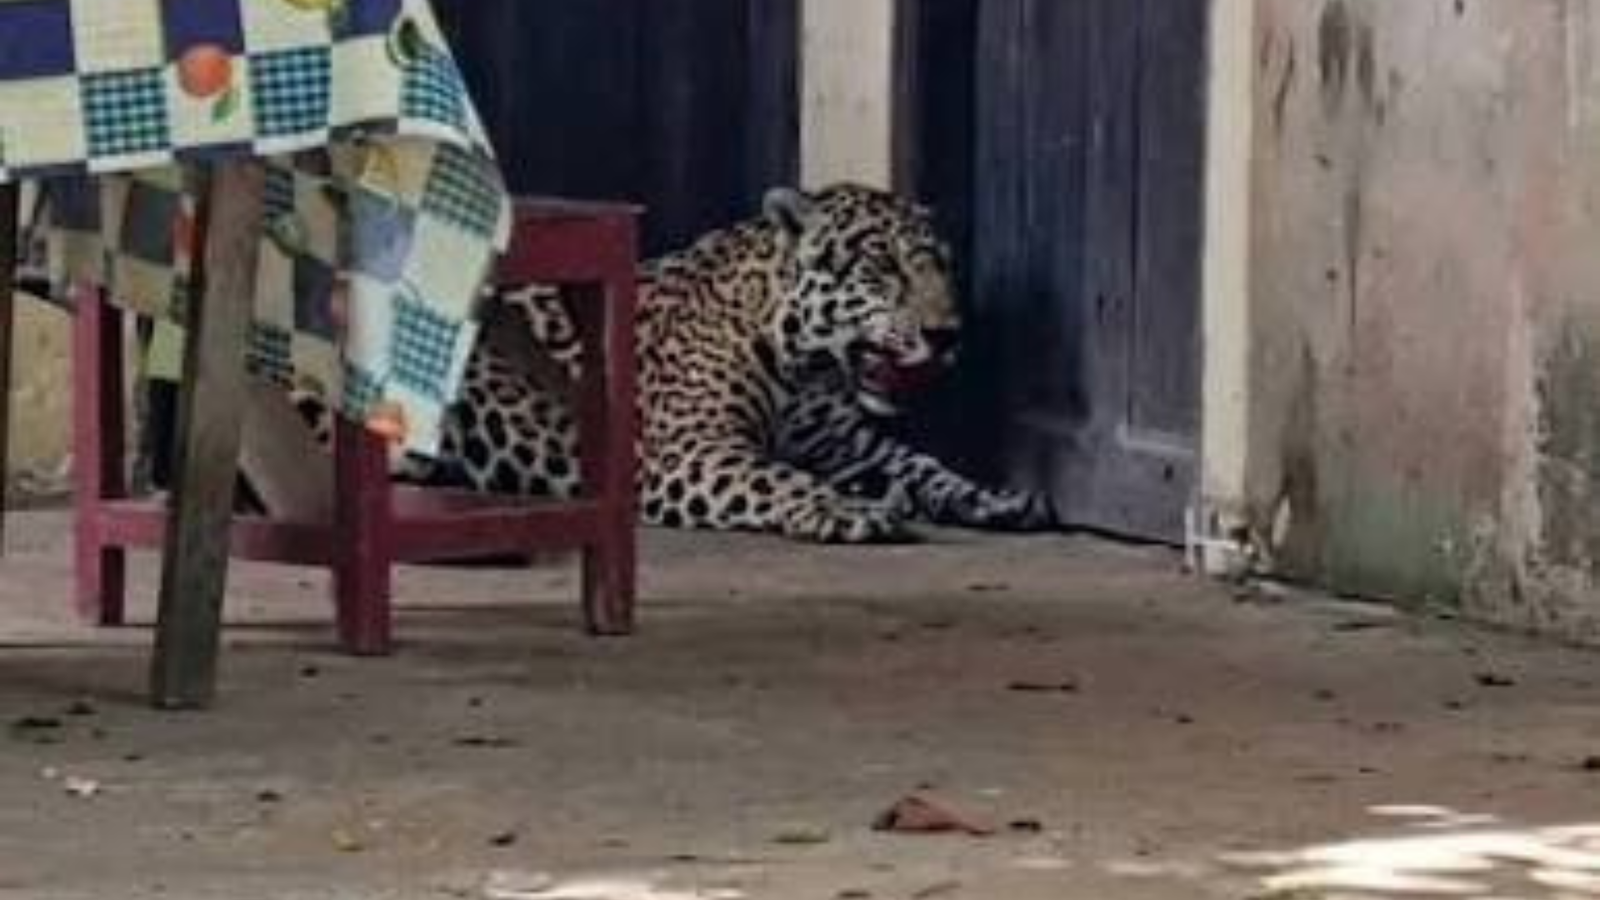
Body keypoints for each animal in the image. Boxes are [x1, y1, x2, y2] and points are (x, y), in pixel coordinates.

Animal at [302, 183, 1058, 543]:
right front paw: (844, 510)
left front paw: (992, 498)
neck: (807, 367)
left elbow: (922, 464)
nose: (947, 334)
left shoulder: (847, 446)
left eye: (941, 268)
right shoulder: (692, 450)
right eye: (883, 269)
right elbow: (779, 477)